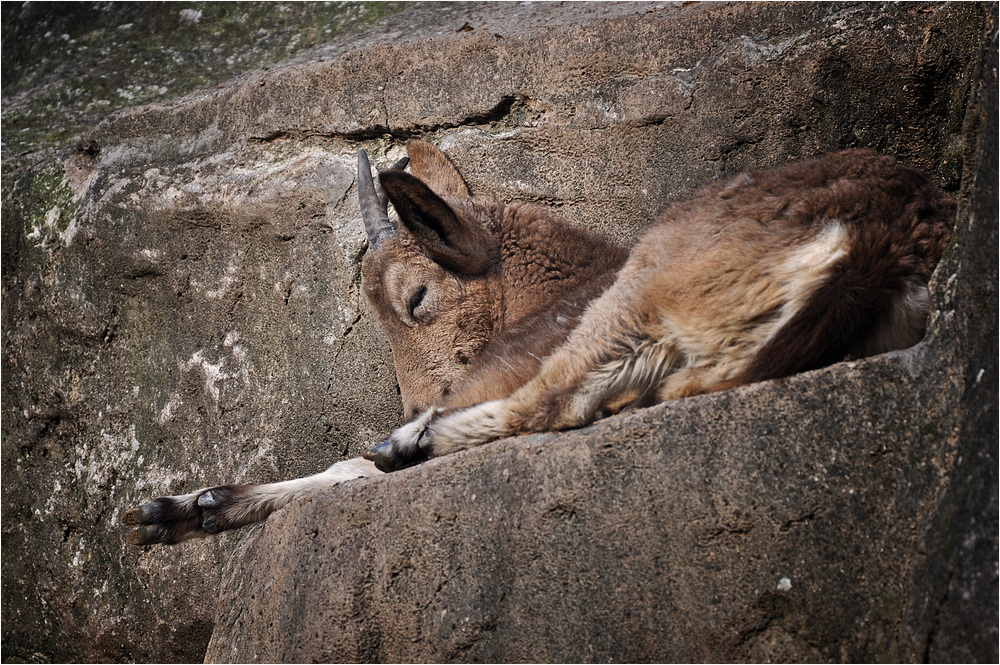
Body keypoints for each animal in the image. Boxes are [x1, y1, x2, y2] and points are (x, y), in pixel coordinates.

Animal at [123, 140, 952, 544]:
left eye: (416, 298)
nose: (416, 402)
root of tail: (876, 243)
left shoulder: (508, 359)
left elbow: (350, 462)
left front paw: (194, 501)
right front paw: (181, 509)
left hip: (642, 293)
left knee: (539, 406)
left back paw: (402, 446)